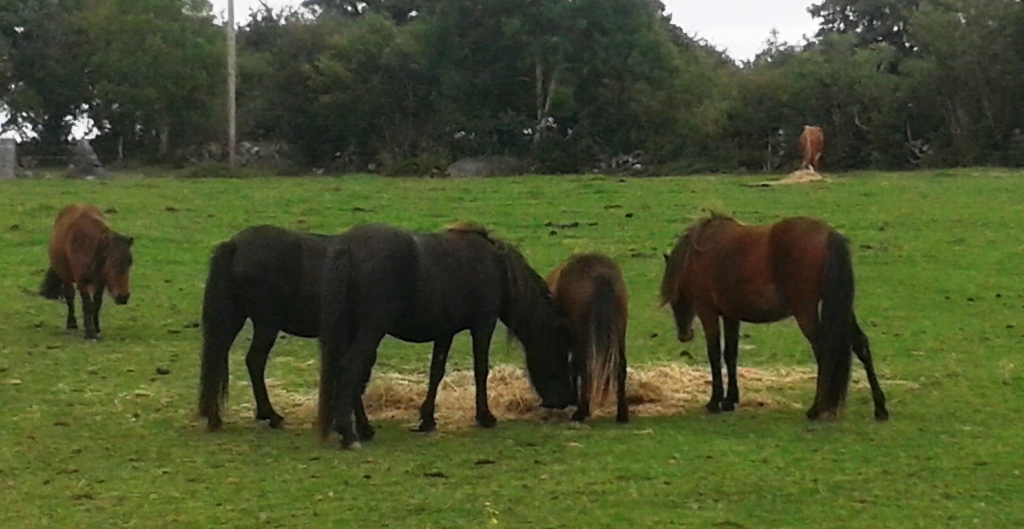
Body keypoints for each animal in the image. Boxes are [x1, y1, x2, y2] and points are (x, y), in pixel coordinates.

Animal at [39, 204, 134, 340]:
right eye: (112, 262)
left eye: (129, 263)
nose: (123, 297)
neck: (89, 247)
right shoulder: (82, 282)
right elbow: (87, 305)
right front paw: (90, 333)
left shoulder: (101, 283)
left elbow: (97, 303)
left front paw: (96, 327)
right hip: (66, 277)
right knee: (70, 296)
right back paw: (71, 323)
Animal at [196, 224, 370, 431]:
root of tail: (234, 245)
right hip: (267, 324)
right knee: (254, 360)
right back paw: (270, 415)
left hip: (235, 318)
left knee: (216, 356)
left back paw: (214, 416)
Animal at [317, 222, 576, 449]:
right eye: (561, 351)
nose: (565, 400)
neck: (495, 266)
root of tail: (349, 246)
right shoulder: (483, 324)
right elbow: (481, 370)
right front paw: (485, 417)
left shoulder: (444, 332)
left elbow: (436, 373)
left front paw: (427, 420)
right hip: (371, 331)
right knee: (350, 369)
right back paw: (350, 434)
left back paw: (364, 429)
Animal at [659, 212, 888, 421]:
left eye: (674, 298)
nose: (684, 335)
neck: (697, 254)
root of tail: (828, 235)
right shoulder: (731, 316)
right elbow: (730, 354)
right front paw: (730, 400)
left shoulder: (708, 312)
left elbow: (714, 354)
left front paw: (714, 402)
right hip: (842, 308)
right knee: (860, 344)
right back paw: (880, 408)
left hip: (805, 312)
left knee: (824, 352)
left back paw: (816, 409)